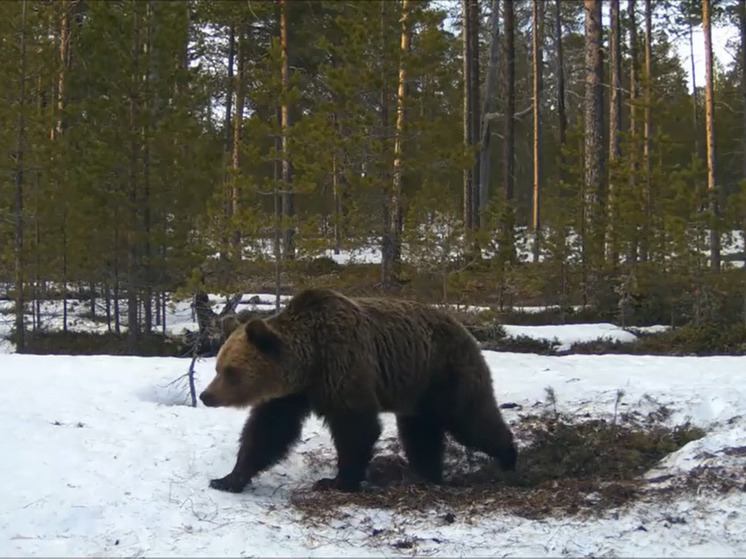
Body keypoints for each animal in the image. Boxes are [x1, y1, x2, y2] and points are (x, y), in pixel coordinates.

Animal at [199, 288, 516, 494]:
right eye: (218, 366)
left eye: (230, 371)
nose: (206, 396)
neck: (311, 362)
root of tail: (465, 329)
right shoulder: (292, 394)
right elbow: (268, 431)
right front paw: (227, 479)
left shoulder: (345, 367)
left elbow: (355, 427)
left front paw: (337, 481)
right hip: (417, 390)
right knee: (420, 432)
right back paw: (428, 473)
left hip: (445, 372)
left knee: (470, 418)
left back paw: (508, 458)